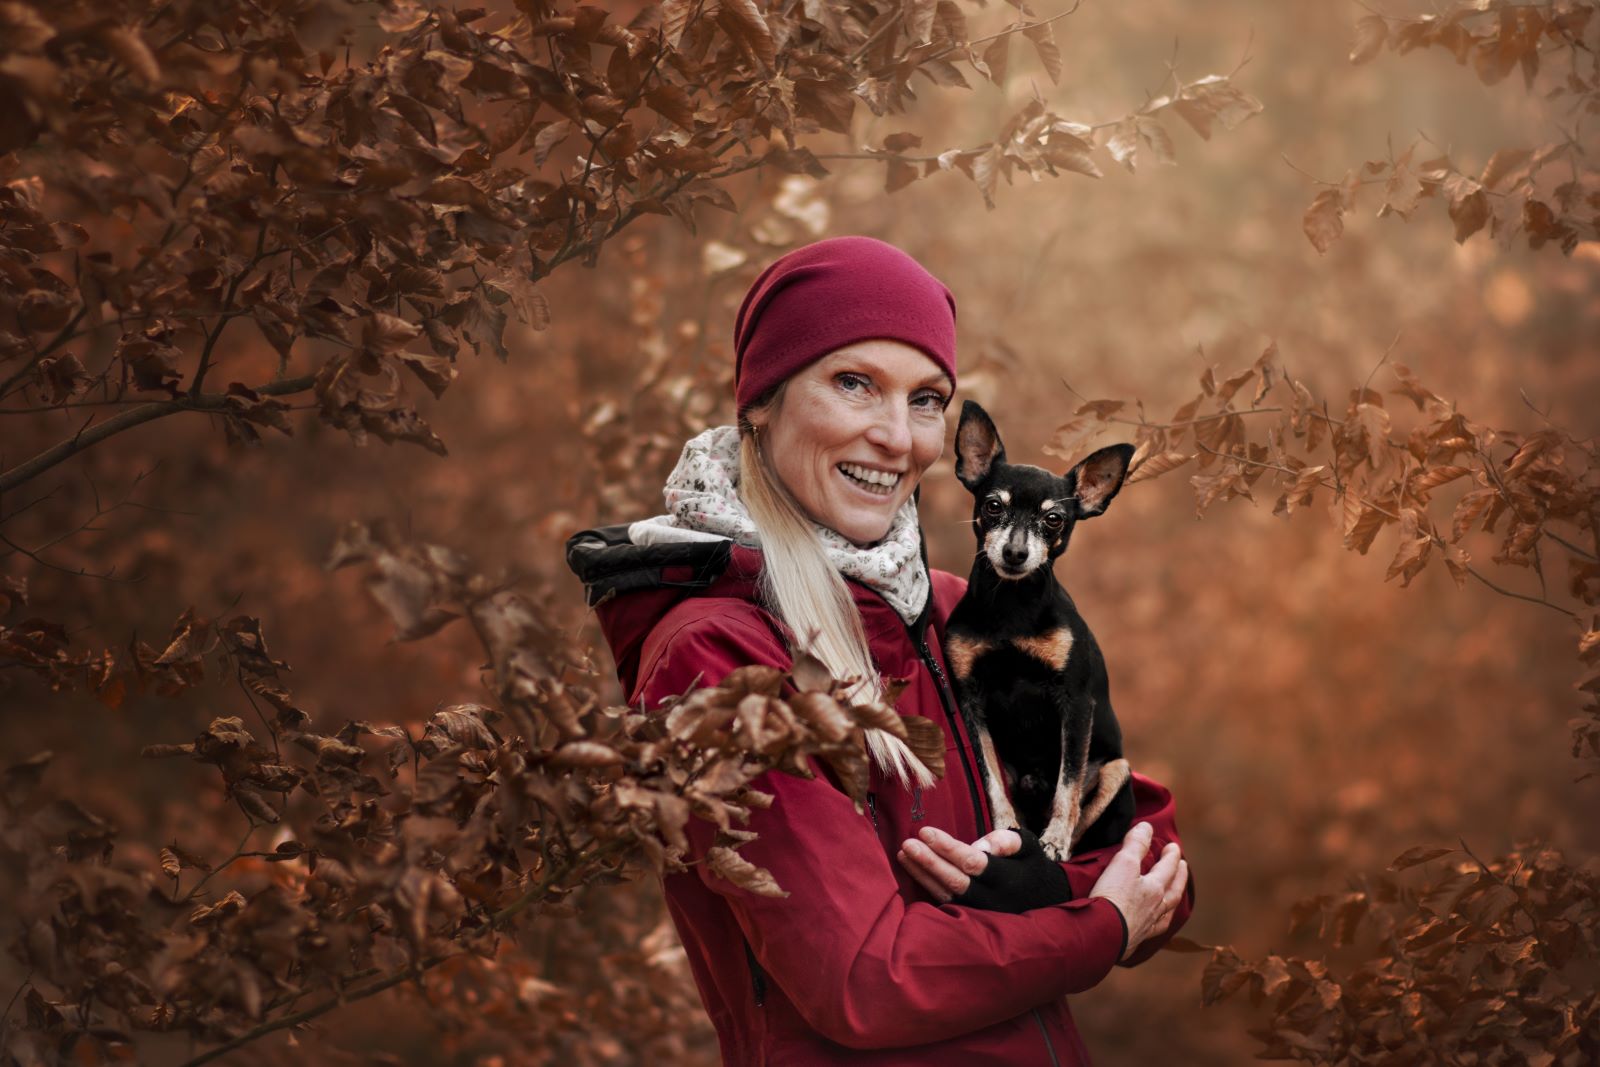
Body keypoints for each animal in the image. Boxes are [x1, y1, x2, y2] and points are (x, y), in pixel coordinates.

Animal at [947, 398, 1139, 857]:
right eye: (993, 506)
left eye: (1053, 519)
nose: (1015, 553)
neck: (1011, 608)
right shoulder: (971, 701)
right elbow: (990, 780)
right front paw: (1005, 827)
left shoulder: (1076, 701)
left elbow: (1068, 787)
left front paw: (1053, 842)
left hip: (1117, 770)